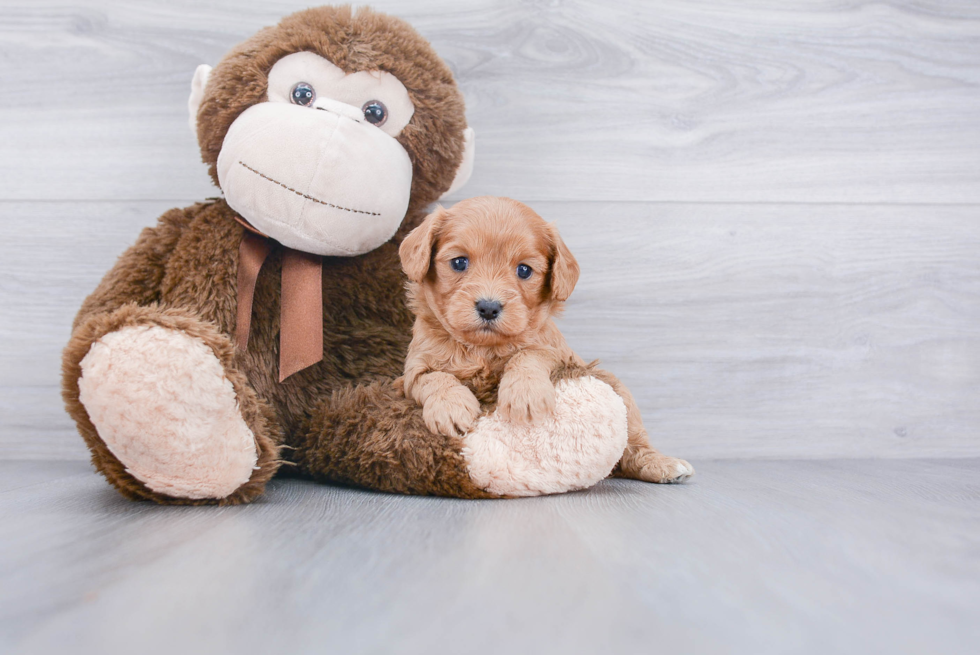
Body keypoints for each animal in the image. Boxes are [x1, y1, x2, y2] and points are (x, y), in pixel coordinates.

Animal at [398, 197, 696, 484]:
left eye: (524, 270)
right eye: (459, 262)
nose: (488, 307)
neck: (483, 349)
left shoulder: (557, 353)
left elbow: (529, 354)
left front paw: (525, 393)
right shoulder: (411, 372)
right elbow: (433, 377)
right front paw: (451, 408)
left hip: (618, 393)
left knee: (634, 446)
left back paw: (661, 464)